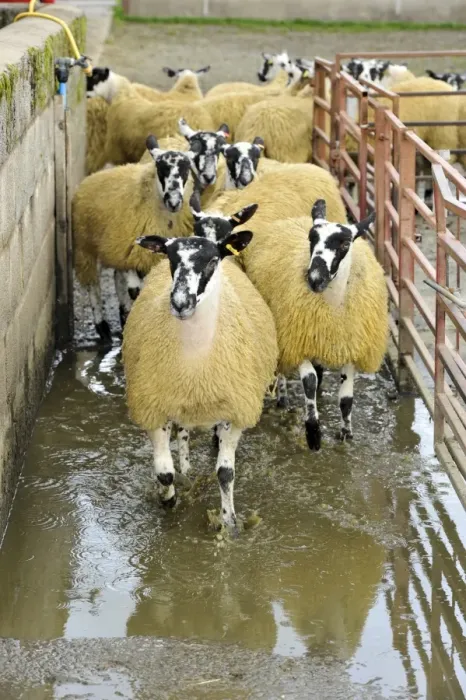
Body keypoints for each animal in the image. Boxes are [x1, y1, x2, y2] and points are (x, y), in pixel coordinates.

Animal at [73, 135, 197, 344]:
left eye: (186, 169)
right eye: (161, 169)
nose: (174, 201)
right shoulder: (132, 250)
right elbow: (134, 290)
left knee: (117, 279)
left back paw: (122, 315)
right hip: (86, 247)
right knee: (93, 285)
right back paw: (103, 328)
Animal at [122, 210, 278, 531]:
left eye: (211, 261)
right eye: (170, 258)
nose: (181, 303)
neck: (196, 363)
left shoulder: (236, 411)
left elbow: (225, 473)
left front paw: (229, 522)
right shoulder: (154, 407)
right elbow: (164, 473)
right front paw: (168, 500)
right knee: (182, 437)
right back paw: (185, 470)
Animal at [235, 199, 388, 450]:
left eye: (345, 243)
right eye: (311, 238)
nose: (315, 278)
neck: (333, 304)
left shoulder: (350, 346)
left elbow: (346, 399)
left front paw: (346, 433)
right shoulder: (299, 342)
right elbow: (309, 382)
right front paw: (313, 432)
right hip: (282, 331)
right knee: (283, 368)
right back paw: (283, 398)